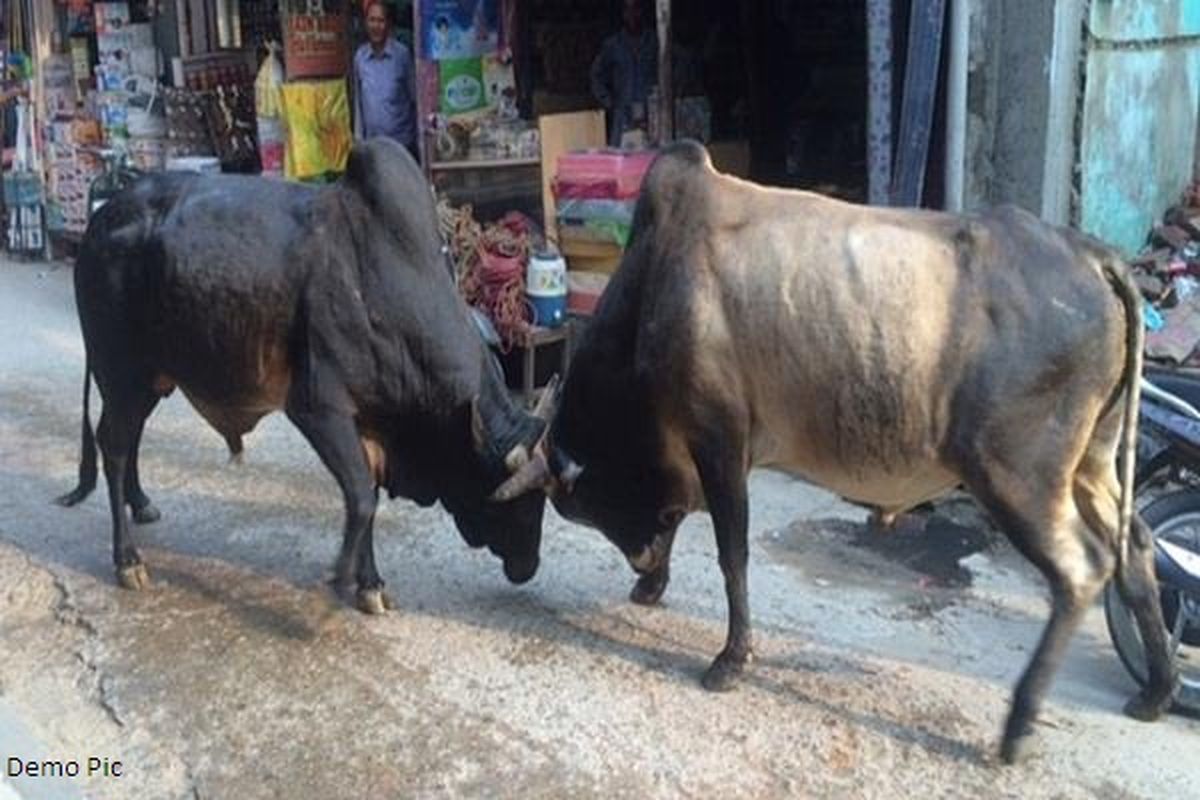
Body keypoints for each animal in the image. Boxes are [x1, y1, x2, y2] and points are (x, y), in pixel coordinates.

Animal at [57, 138, 549, 613]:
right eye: (517, 504)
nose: (527, 568)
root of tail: (100, 219)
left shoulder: (370, 422)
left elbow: (368, 496)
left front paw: (371, 585)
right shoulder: (318, 409)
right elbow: (361, 497)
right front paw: (340, 575)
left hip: (150, 379)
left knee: (129, 438)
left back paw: (141, 505)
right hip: (120, 371)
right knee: (114, 446)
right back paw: (127, 560)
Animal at [494, 141, 1178, 762]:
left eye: (584, 503)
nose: (640, 566)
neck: (654, 287)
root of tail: (1093, 256)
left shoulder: (721, 441)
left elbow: (731, 554)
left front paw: (730, 659)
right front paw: (656, 589)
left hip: (1017, 474)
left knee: (1082, 570)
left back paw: (1018, 727)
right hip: (1091, 462)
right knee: (1136, 547)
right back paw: (1157, 691)